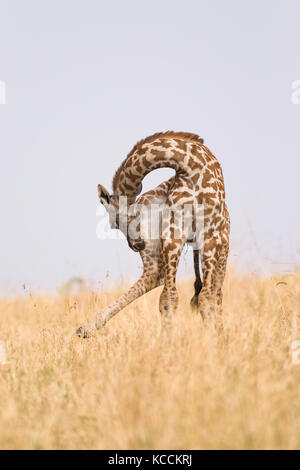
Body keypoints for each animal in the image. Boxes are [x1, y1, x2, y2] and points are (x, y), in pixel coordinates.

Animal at [77, 132, 230, 338]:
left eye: (114, 223)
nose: (136, 245)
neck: (190, 167)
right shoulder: (179, 234)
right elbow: (172, 297)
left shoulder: (210, 236)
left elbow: (207, 297)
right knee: (167, 284)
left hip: (214, 247)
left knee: (211, 294)